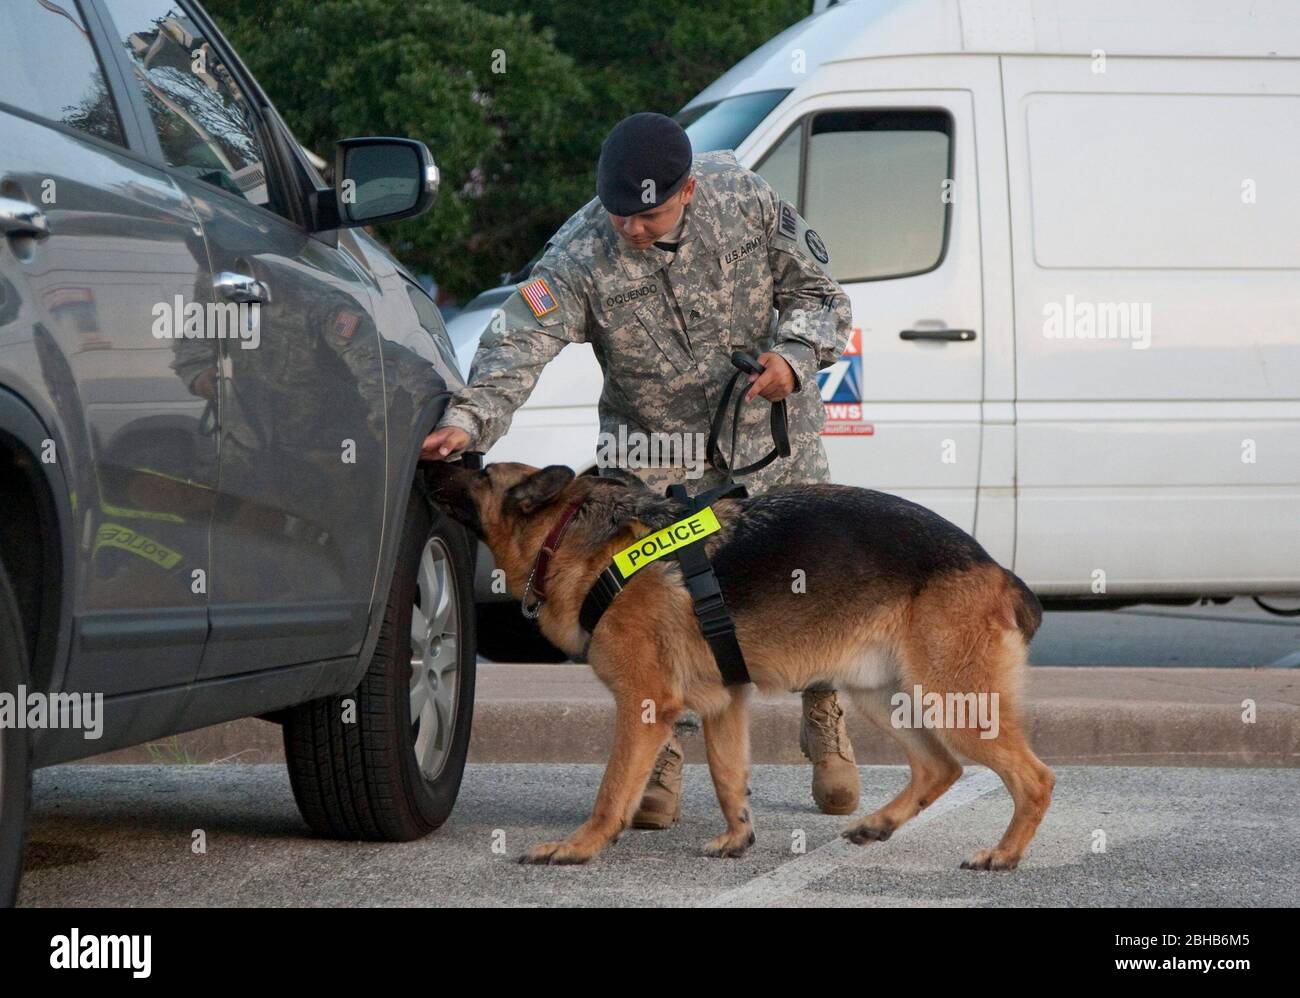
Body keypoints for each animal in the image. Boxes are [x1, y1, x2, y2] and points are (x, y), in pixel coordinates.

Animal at [431, 462, 1050, 868]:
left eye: (480, 472)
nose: (435, 460)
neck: (569, 537)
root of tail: (998, 569)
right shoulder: (725, 703)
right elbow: (728, 777)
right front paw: (738, 839)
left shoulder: (644, 705)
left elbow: (612, 790)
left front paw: (579, 847)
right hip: (882, 695)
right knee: (938, 767)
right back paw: (880, 825)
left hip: (954, 702)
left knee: (1034, 778)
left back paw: (1004, 855)